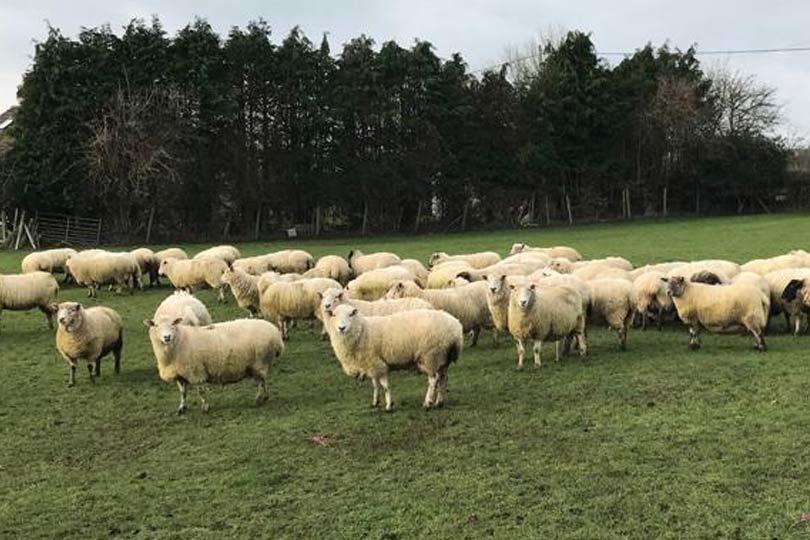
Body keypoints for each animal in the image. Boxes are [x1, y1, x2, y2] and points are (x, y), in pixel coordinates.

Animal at [144, 317, 283, 413]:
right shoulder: (180, 374)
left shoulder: (196, 372)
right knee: (263, 380)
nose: (167, 337)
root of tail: (276, 333)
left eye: (173, 324)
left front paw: (205, 407)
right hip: (258, 364)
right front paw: (182, 408)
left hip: (260, 361)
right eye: (156, 325)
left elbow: (201, 392)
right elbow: (183, 392)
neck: (179, 341)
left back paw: (259, 398)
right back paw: (265, 397)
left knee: (260, 382)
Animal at [323, 304, 462, 411]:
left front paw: (389, 405)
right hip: (443, 357)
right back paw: (439, 402)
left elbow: (385, 386)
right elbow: (375, 385)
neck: (362, 331)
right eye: (334, 315)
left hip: (430, 356)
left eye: (351, 314)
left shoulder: (378, 363)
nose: (341, 328)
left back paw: (427, 403)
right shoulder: (371, 365)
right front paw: (375, 402)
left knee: (433, 380)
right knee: (443, 378)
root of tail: (456, 328)